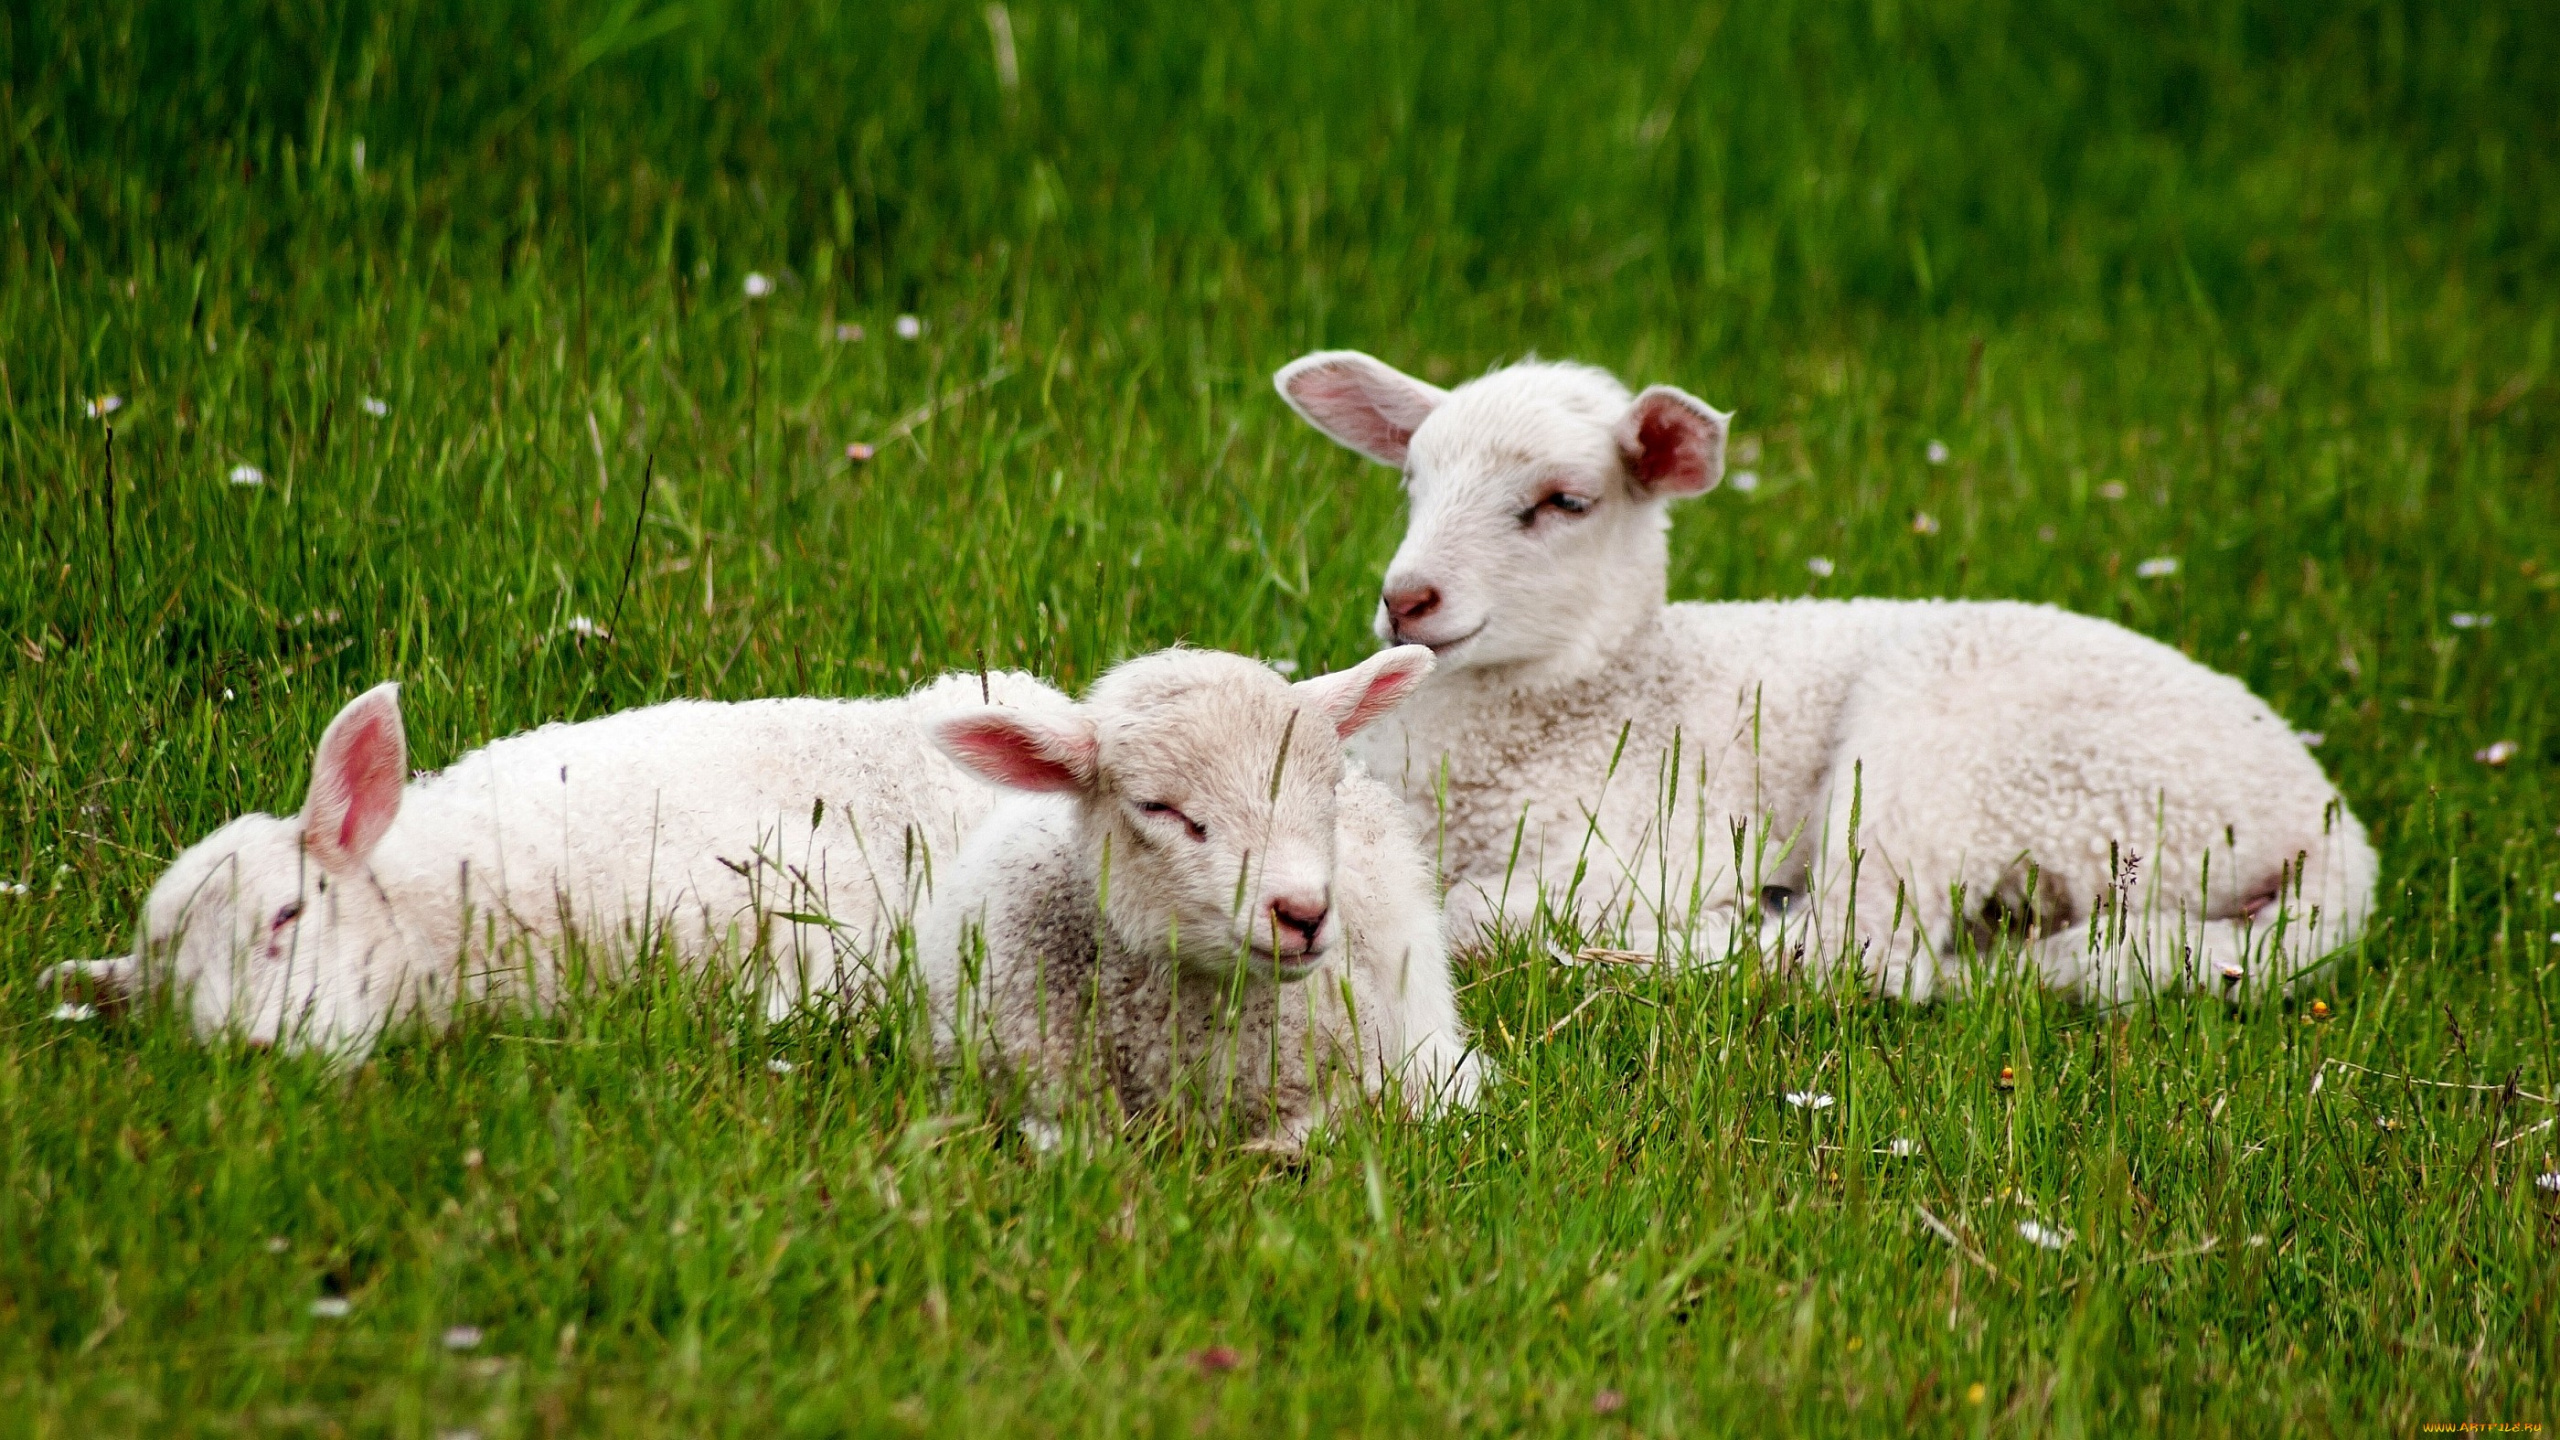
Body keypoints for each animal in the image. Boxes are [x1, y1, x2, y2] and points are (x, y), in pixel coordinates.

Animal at [1280, 348, 2375, 999]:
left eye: (1564, 502)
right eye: (1411, 482)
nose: (1407, 600)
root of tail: (2326, 824)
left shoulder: (1654, 834)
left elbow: (1476, 908)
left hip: (1955, 757)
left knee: (1869, 947)